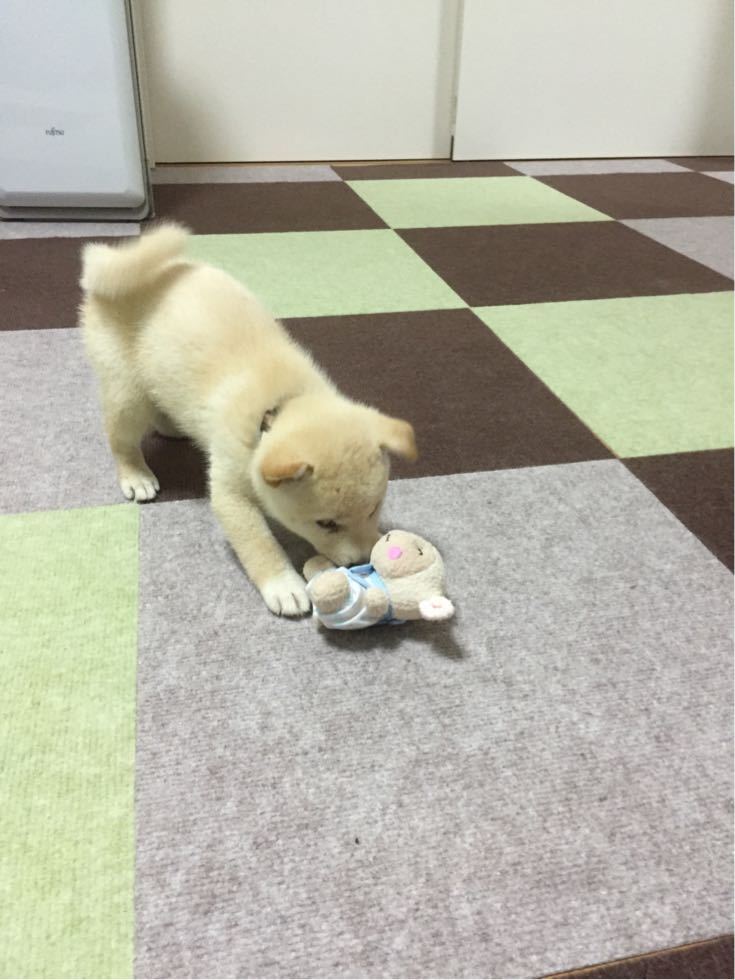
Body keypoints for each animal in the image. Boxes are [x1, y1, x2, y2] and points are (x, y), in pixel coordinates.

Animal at [79, 223, 417, 616]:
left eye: (375, 508)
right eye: (326, 524)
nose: (363, 560)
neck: (280, 405)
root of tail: (116, 274)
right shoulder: (230, 493)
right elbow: (258, 543)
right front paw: (283, 585)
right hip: (126, 391)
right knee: (121, 438)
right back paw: (136, 476)